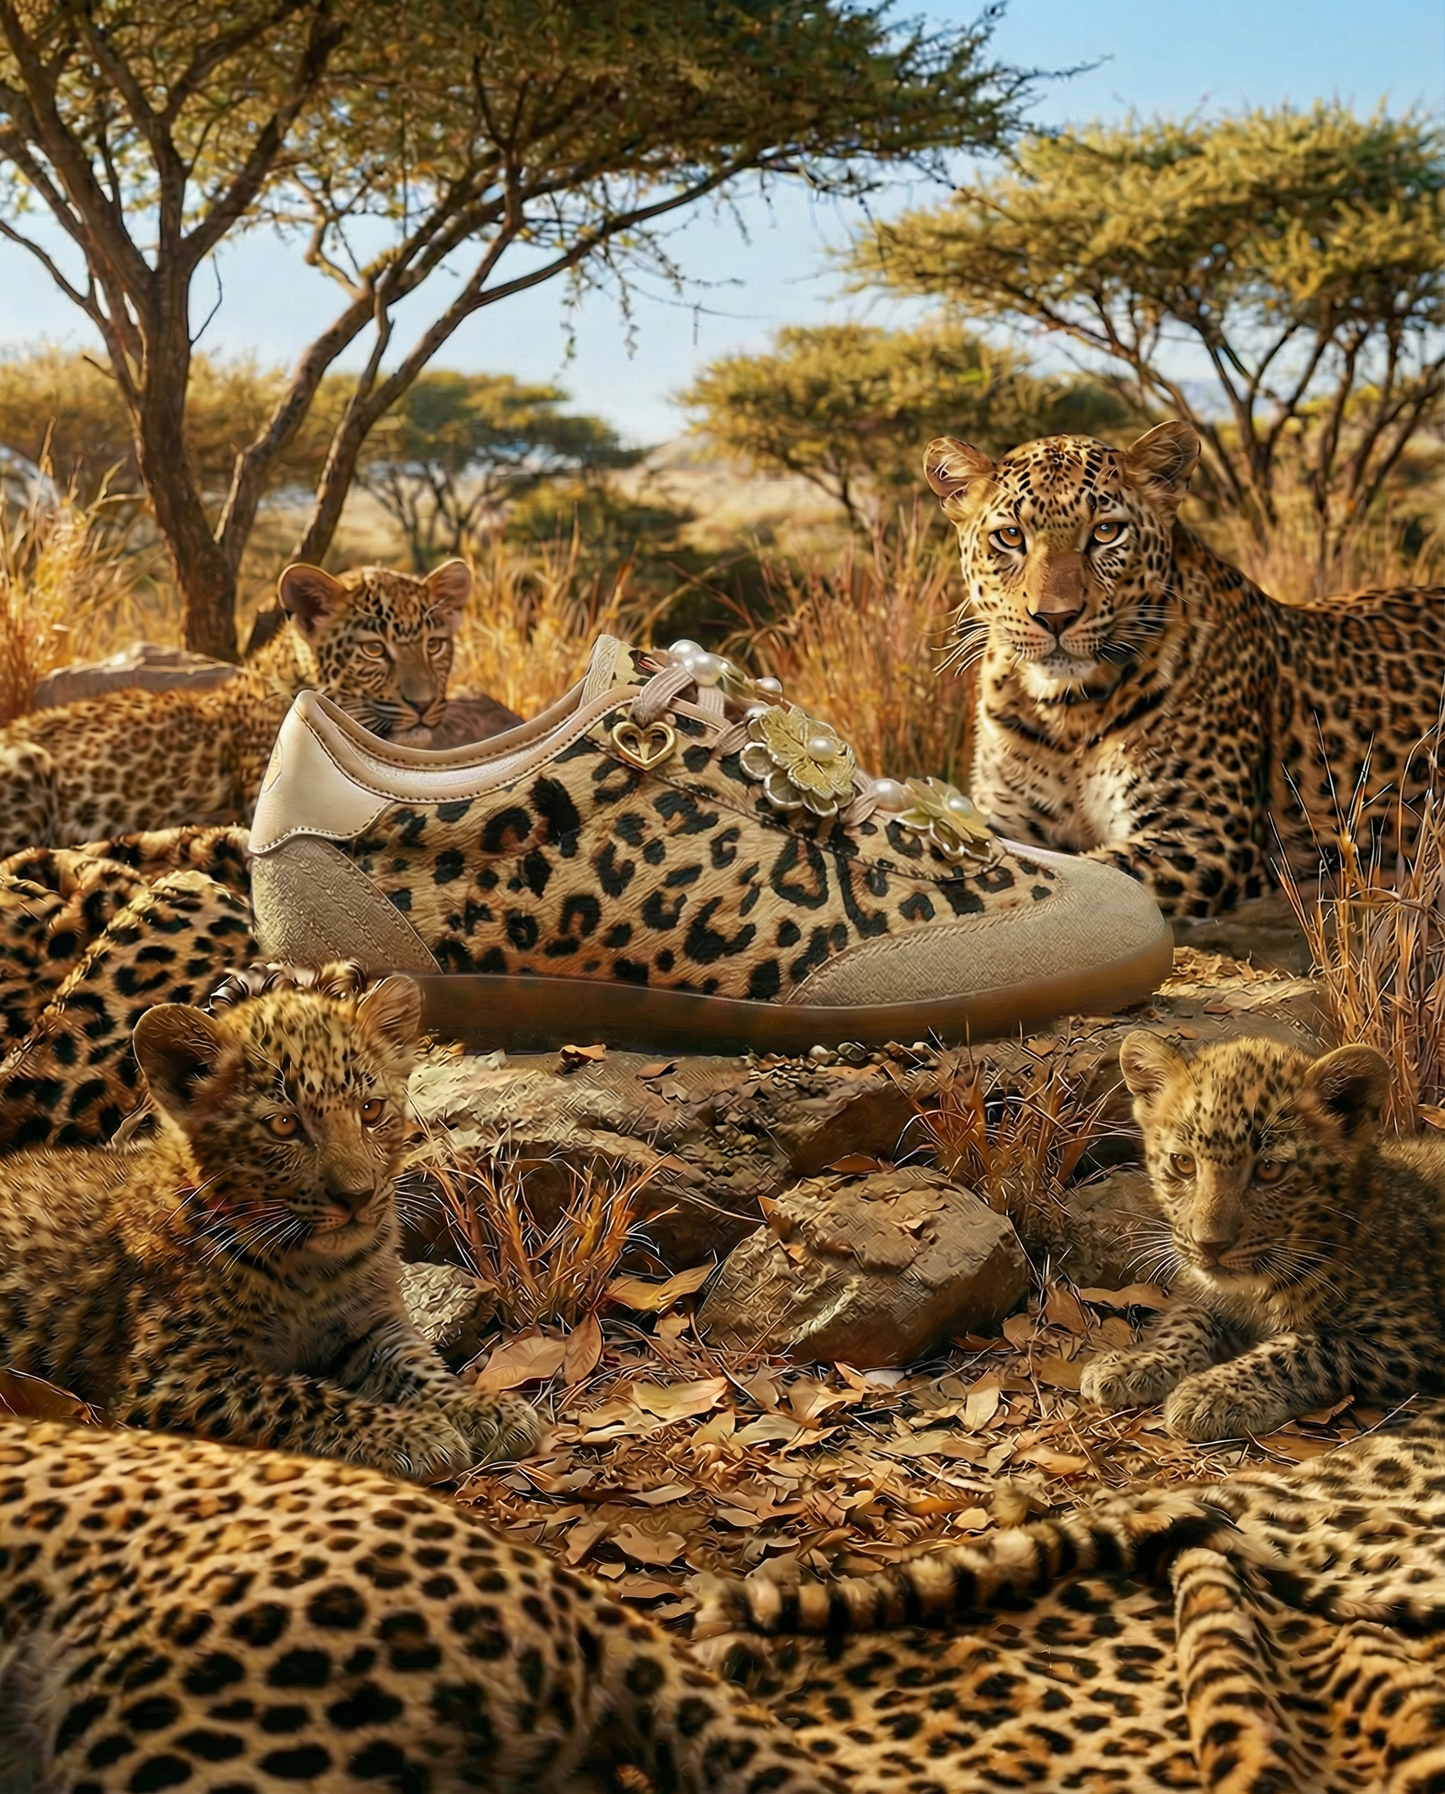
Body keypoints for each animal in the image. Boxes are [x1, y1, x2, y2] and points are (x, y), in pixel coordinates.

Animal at [0, 963, 541, 1479]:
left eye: (371, 1111)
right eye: (284, 1125)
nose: (358, 1197)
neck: (309, 1269)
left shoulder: (372, 1327)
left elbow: (420, 1367)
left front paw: (482, 1409)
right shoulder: (168, 1374)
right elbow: (300, 1397)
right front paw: (413, 1435)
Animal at [925, 421, 1445, 918]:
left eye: (1106, 533)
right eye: (1010, 537)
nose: (1055, 617)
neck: (1067, 711)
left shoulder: (1201, 837)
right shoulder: (1003, 818)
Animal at [1077, 1030, 1445, 1442]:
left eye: (1269, 1170)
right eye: (1183, 1163)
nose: (1210, 1245)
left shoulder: (1410, 1335)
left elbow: (1303, 1348)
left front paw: (1211, 1393)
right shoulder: (1207, 1294)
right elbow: (1186, 1319)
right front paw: (1139, 1360)